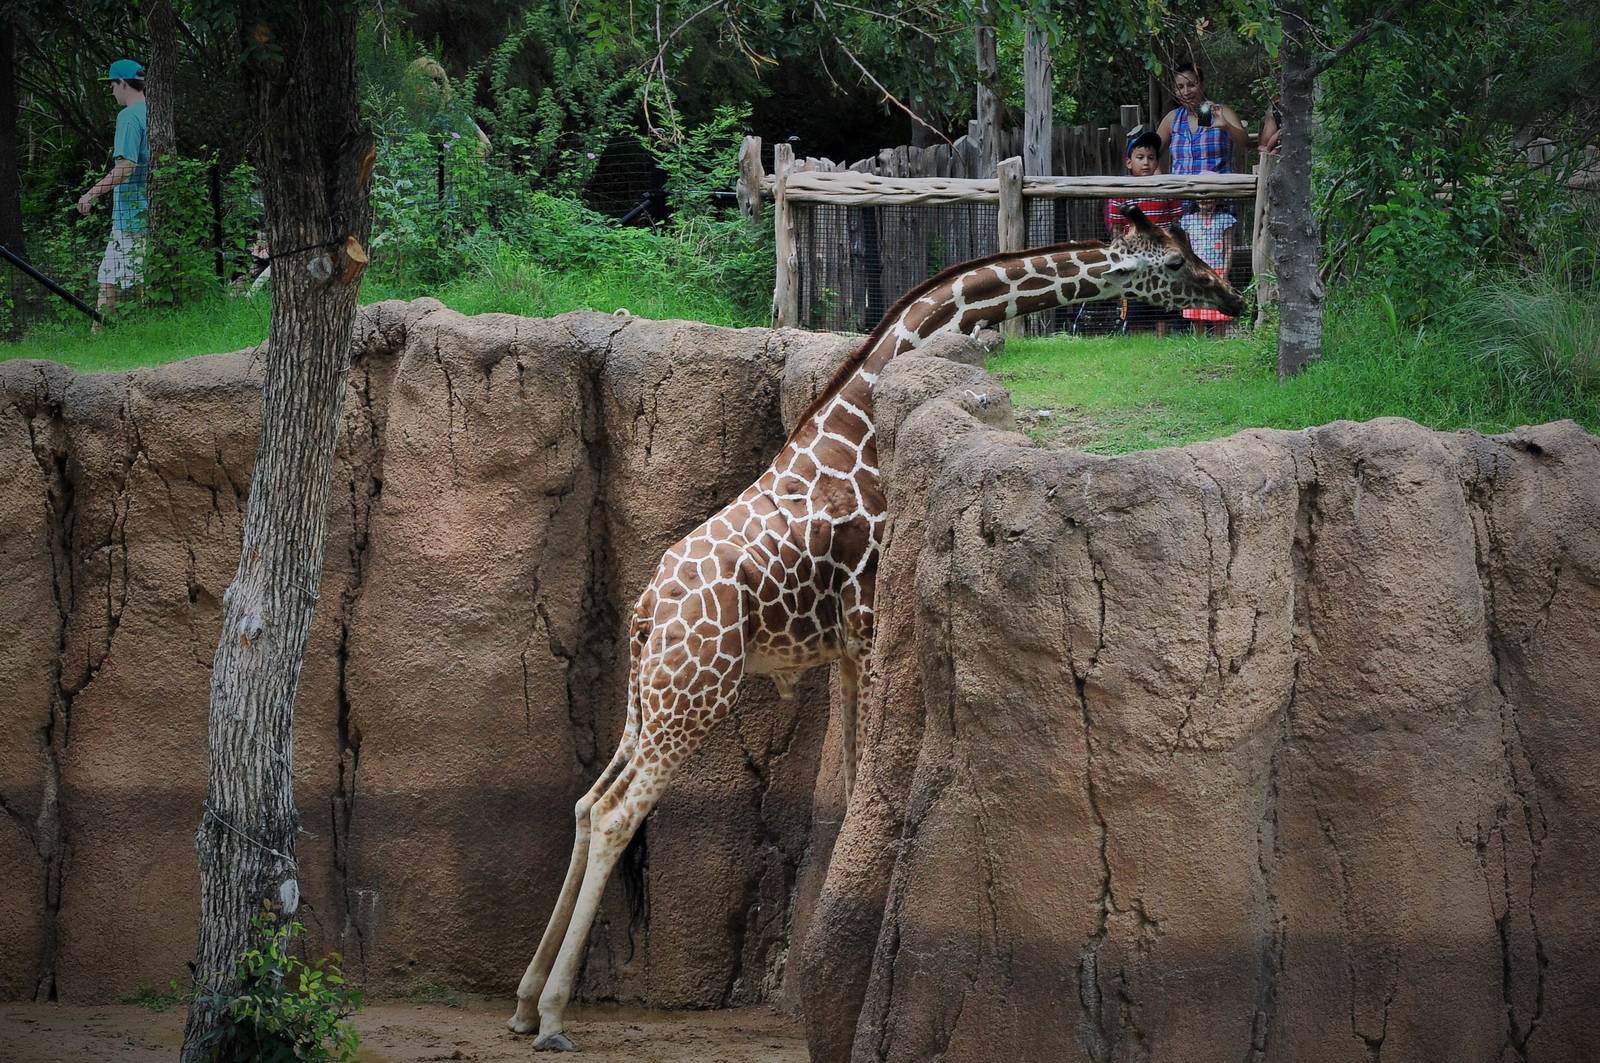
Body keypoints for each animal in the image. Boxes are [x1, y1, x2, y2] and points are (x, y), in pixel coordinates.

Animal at [509, 205, 1245, 1051]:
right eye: (1176, 262)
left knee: (586, 803)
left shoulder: (844, 649)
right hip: (698, 692)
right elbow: (864, 778)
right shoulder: (866, 625)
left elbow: (855, 779)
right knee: (616, 813)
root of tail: (646, 609)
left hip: (651, 695)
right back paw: (553, 1014)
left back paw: (525, 1000)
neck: (857, 424)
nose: (1234, 293)